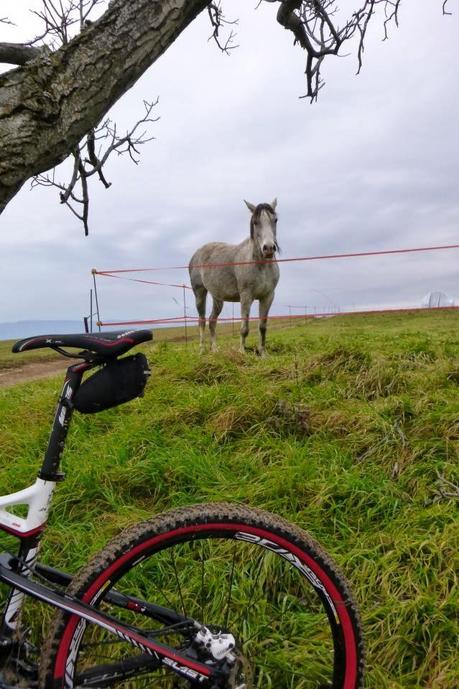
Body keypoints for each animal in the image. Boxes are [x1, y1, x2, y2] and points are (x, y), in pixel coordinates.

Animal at [188, 198, 280, 354]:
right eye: (255, 222)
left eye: (275, 220)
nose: (268, 248)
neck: (260, 265)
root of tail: (196, 254)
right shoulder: (246, 296)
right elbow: (244, 328)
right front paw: (242, 351)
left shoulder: (268, 296)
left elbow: (262, 327)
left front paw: (263, 353)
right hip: (199, 293)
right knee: (202, 321)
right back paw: (202, 350)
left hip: (217, 298)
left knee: (212, 321)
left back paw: (215, 349)